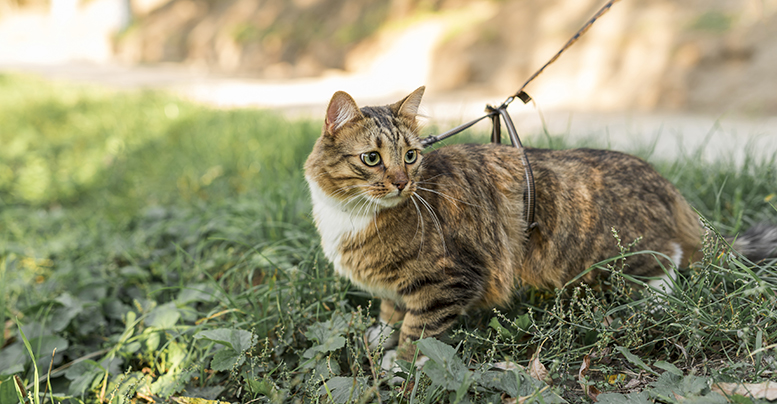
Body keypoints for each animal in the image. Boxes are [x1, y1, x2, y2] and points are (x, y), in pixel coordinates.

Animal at [302, 86, 776, 362]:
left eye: (411, 156)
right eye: (372, 158)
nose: (402, 182)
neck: (349, 214)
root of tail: (662, 180)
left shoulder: (449, 278)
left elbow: (417, 332)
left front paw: (397, 365)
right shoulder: (396, 285)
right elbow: (389, 311)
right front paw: (379, 336)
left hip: (620, 254)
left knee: (668, 262)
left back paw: (653, 303)